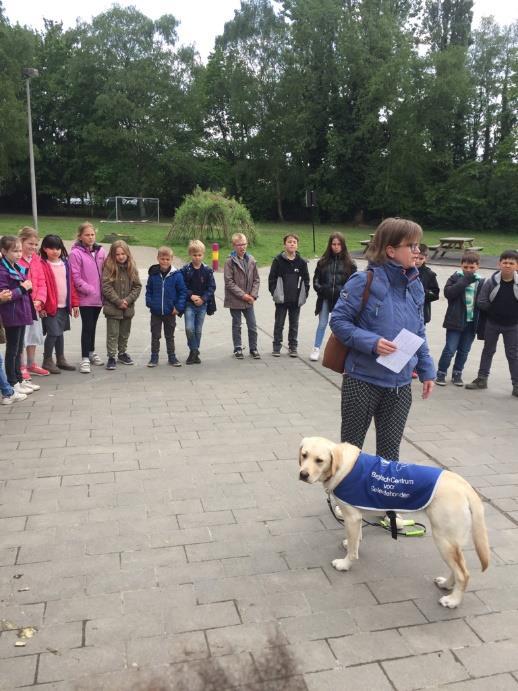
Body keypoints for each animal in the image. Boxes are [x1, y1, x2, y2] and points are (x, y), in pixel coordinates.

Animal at [300, 438, 492, 612]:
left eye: (319, 460)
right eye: (304, 455)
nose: (303, 474)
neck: (343, 468)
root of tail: (466, 487)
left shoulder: (352, 516)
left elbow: (353, 551)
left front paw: (345, 564)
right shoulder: (357, 515)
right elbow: (356, 538)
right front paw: (351, 542)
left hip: (443, 538)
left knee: (463, 574)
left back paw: (453, 601)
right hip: (452, 540)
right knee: (458, 567)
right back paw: (446, 584)